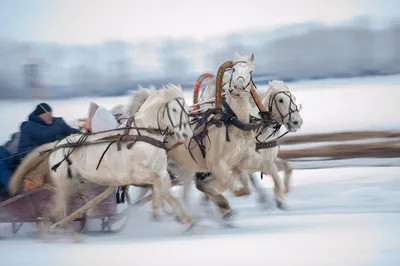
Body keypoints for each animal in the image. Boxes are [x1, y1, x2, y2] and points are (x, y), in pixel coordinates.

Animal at [46, 83, 194, 235]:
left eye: (188, 109)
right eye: (174, 109)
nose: (186, 134)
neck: (143, 137)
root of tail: (57, 146)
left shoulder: (161, 171)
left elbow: (166, 190)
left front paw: (185, 219)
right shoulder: (136, 174)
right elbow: (157, 183)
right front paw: (156, 210)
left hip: (76, 182)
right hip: (64, 183)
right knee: (60, 209)